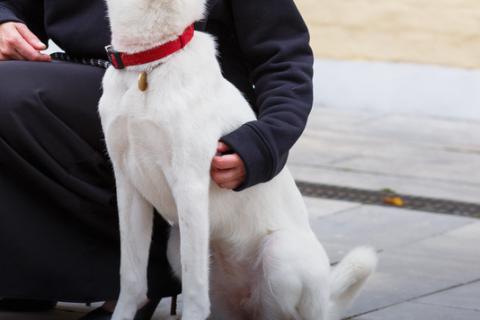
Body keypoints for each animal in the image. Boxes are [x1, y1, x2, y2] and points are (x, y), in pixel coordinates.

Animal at [99, 0, 376, 320]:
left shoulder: (190, 187)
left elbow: (194, 292)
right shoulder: (128, 188)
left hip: (280, 254)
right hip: (177, 246)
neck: (147, 64)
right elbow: (131, 281)